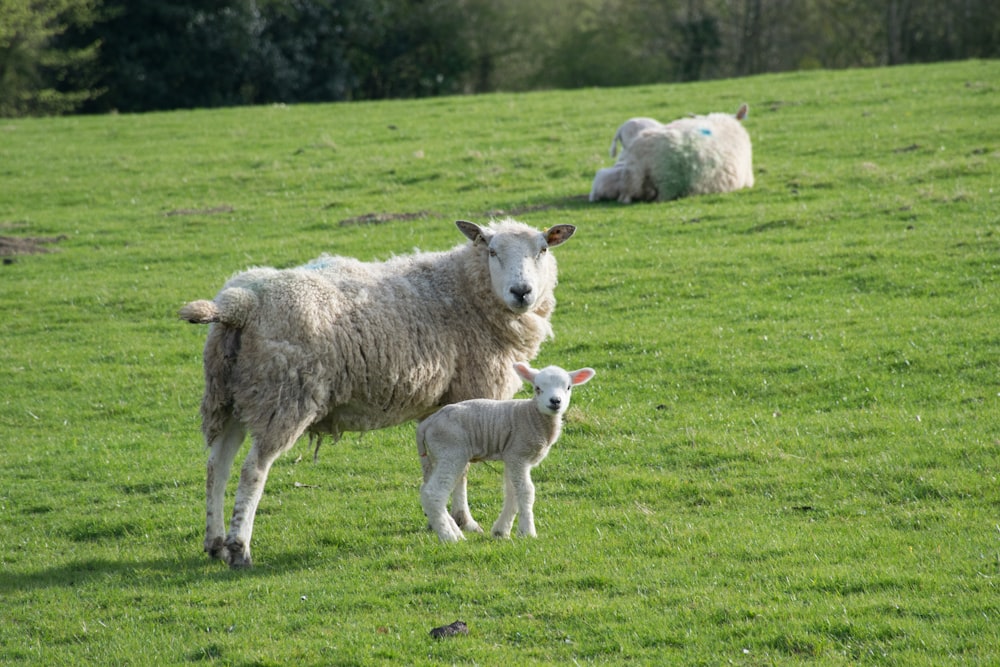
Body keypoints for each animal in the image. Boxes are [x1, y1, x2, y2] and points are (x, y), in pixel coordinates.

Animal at [414, 360, 592, 544]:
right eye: (537, 388)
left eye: (568, 387)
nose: (555, 401)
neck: (531, 414)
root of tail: (427, 423)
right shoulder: (518, 454)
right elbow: (526, 491)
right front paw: (528, 532)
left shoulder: (511, 457)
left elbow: (512, 492)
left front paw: (501, 531)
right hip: (451, 450)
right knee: (433, 493)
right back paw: (449, 537)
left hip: (437, 455)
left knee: (425, 491)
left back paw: (455, 531)